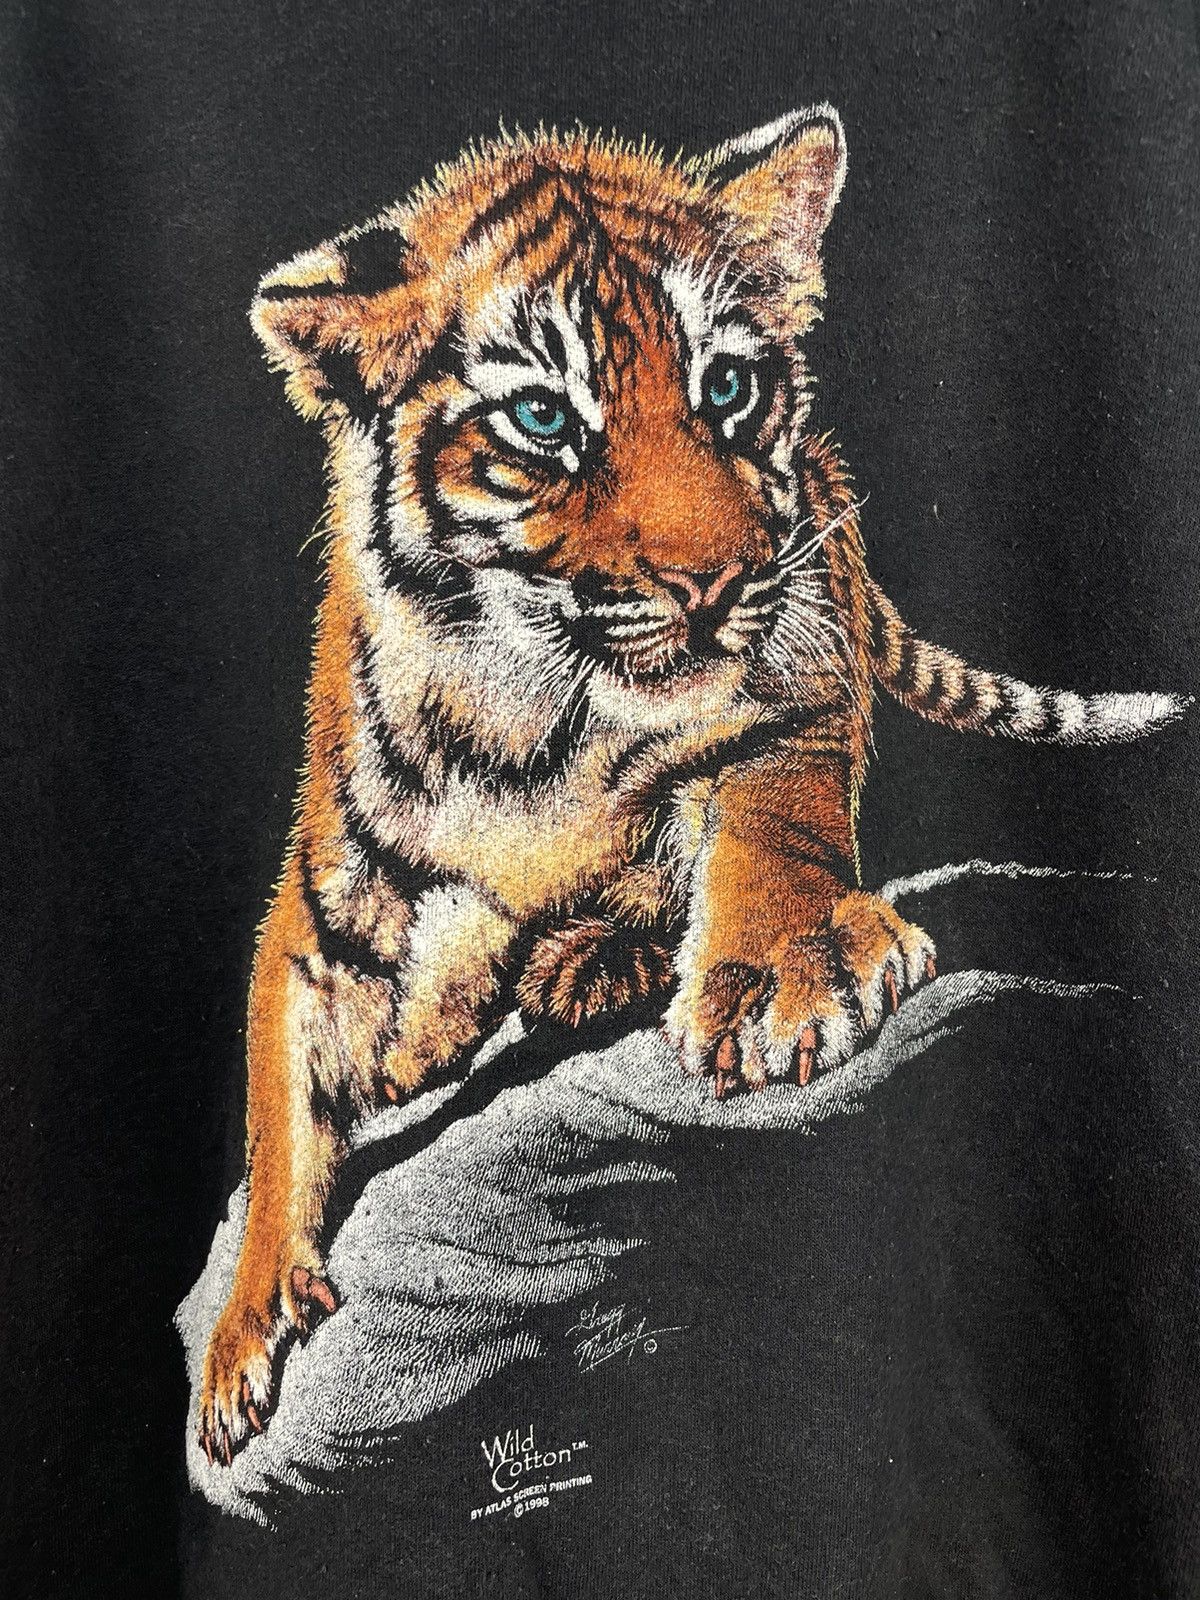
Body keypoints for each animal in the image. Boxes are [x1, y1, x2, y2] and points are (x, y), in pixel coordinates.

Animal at [197, 106, 1187, 1465]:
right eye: (542, 419)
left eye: (726, 387)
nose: (715, 583)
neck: (537, 724)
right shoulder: (322, 906)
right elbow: (280, 1103)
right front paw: (239, 1340)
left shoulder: (795, 689)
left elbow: (770, 826)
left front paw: (784, 976)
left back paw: (588, 963)